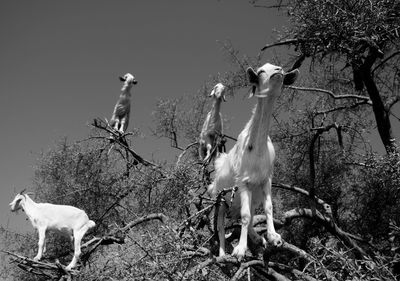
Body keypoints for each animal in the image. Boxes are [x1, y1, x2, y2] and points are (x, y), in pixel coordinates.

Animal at [208, 62, 298, 260]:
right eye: (262, 71)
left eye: (280, 68)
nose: (278, 71)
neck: (256, 148)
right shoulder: (243, 182)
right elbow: (245, 216)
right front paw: (240, 250)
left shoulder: (266, 180)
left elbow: (268, 208)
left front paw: (274, 237)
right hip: (221, 201)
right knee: (221, 228)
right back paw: (223, 254)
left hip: (251, 196)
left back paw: (257, 238)